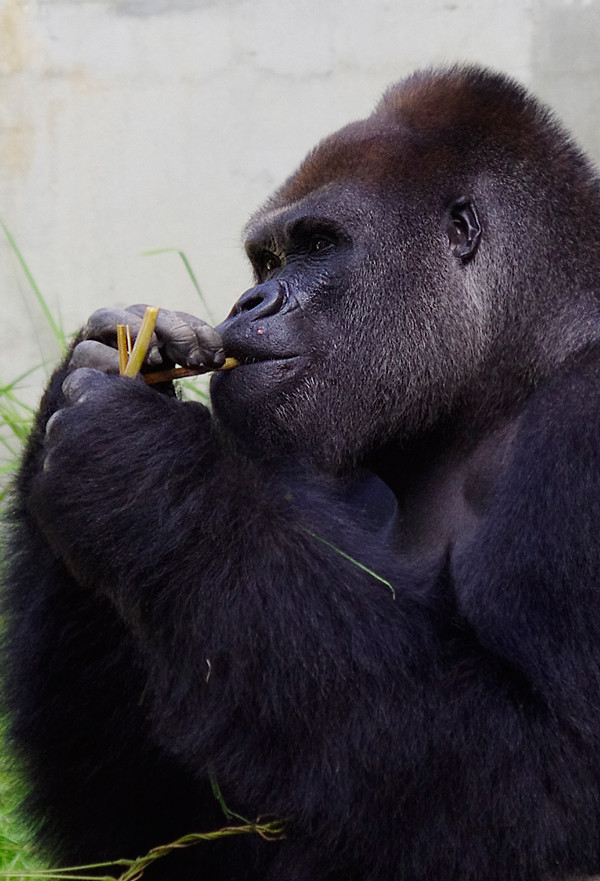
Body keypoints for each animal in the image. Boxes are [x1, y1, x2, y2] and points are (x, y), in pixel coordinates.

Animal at [3, 67, 600, 880]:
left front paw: (138, 473)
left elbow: (546, 786)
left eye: (317, 245)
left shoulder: (583, 428)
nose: (248, 300)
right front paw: (99, 362)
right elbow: (150, 830)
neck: (505, 373)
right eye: (266, 260)